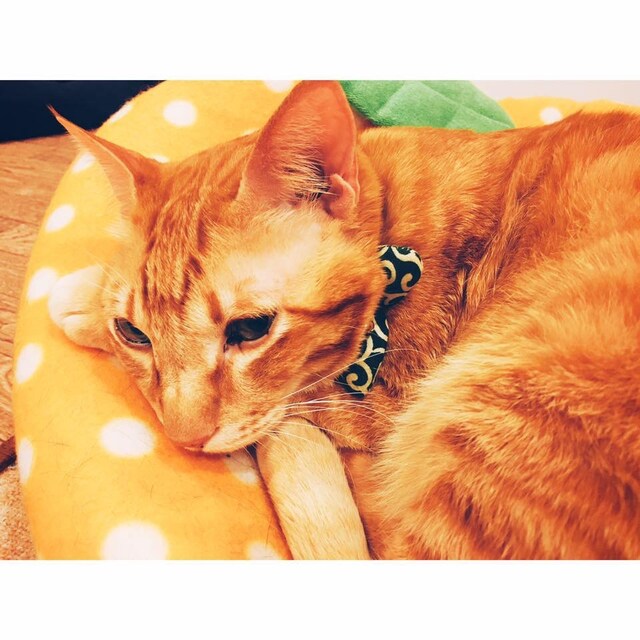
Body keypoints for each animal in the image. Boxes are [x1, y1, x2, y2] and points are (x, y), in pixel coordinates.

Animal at [49, 81, 640, 559]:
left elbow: (302, 405)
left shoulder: (380, 407)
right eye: (134, 334)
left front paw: (78, 297)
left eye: (250, 330)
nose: (184, 440)